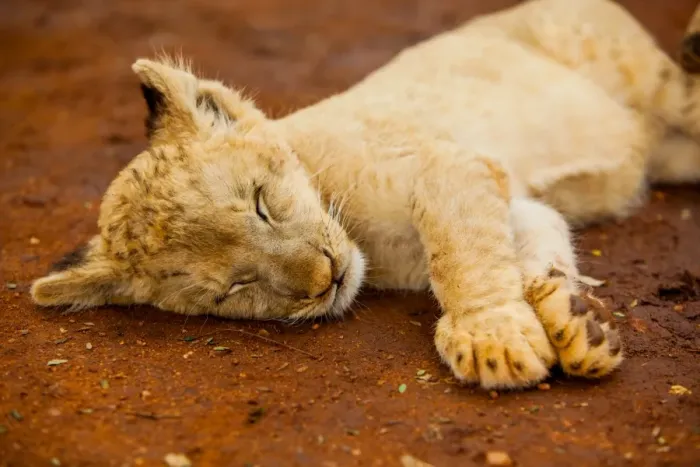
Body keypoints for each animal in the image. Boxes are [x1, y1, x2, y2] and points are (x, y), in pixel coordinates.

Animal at [30, 0, 700, 389]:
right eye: (233, 288)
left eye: (260, 202)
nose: (324, 277)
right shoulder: (517, 201)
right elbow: (532, 246)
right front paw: (575, 322)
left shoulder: (450, 162)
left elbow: (462, 255)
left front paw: (491, 339)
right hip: (671, 154)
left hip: (654, 84)